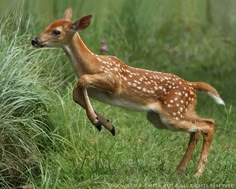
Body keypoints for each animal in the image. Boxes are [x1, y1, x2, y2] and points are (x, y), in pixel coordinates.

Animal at [31, 7, 225, 176]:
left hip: (172, 114)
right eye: (48, 25)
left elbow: (82, 81)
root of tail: (191, 85)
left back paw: (197, 173)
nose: (34, 40)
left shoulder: (114, 81)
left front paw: (96, 121)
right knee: (198, 129)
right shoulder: (94, 91)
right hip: (165, 116)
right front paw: (106, 124)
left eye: (56, 31)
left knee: (208, 125)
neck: (91, 64)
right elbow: (76, 92)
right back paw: (180, 171)